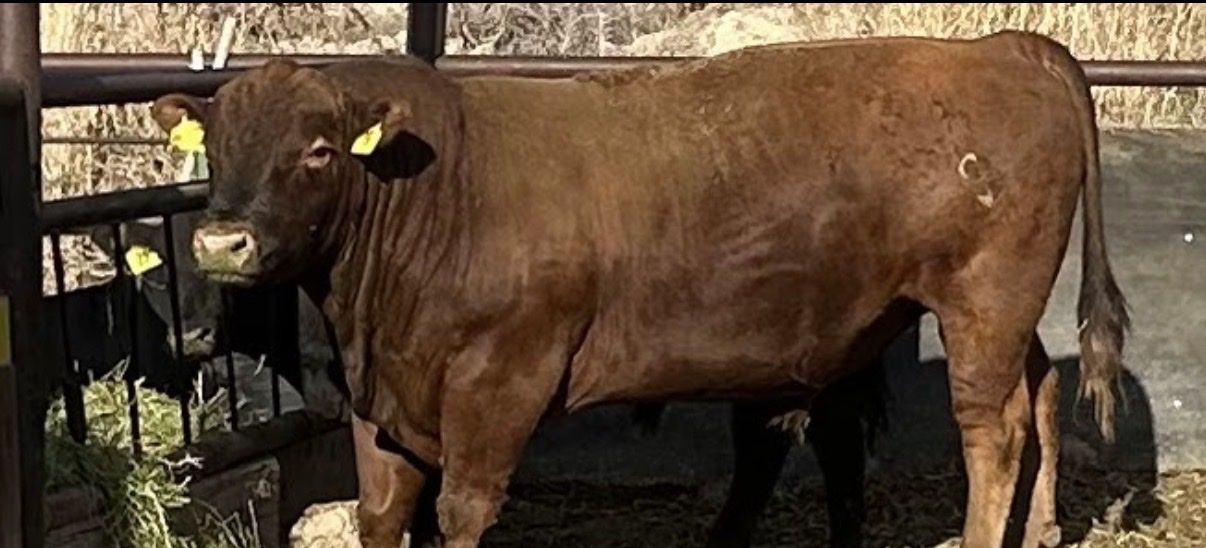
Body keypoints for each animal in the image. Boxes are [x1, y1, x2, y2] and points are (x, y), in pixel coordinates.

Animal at [151, 30, 1128, 548]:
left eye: (319, 150)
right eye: (216, 146)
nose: (221, 240)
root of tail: (1000, 46)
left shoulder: (500, 380)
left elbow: (463, 507)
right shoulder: (379, 395)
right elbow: (383, 512)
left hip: (981, 300)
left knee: (993, 429)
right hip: (997, 313)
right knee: (1040, 393)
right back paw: (1043, 531)